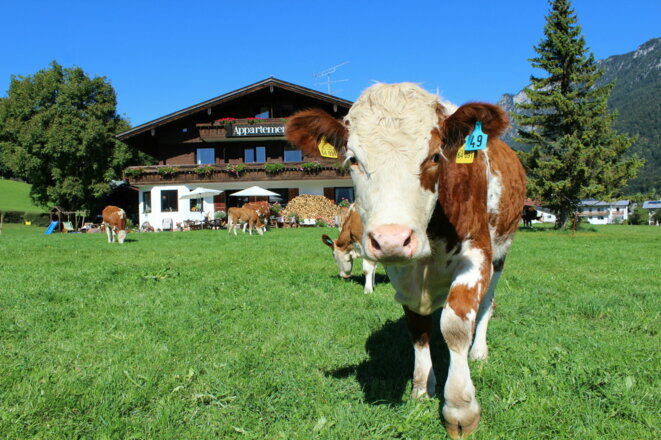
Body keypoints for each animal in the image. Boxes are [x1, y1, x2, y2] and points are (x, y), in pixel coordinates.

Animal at [286, 83, 526, 438]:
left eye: (435, 156)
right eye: (353, 159)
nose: (392, 239)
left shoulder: (477, 254)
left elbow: (455, 325)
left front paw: (460, 408)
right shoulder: (401, 273)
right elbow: (417, 327)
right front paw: (422, 387)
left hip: (501, 252)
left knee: (487, 305)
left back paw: (479, 351)